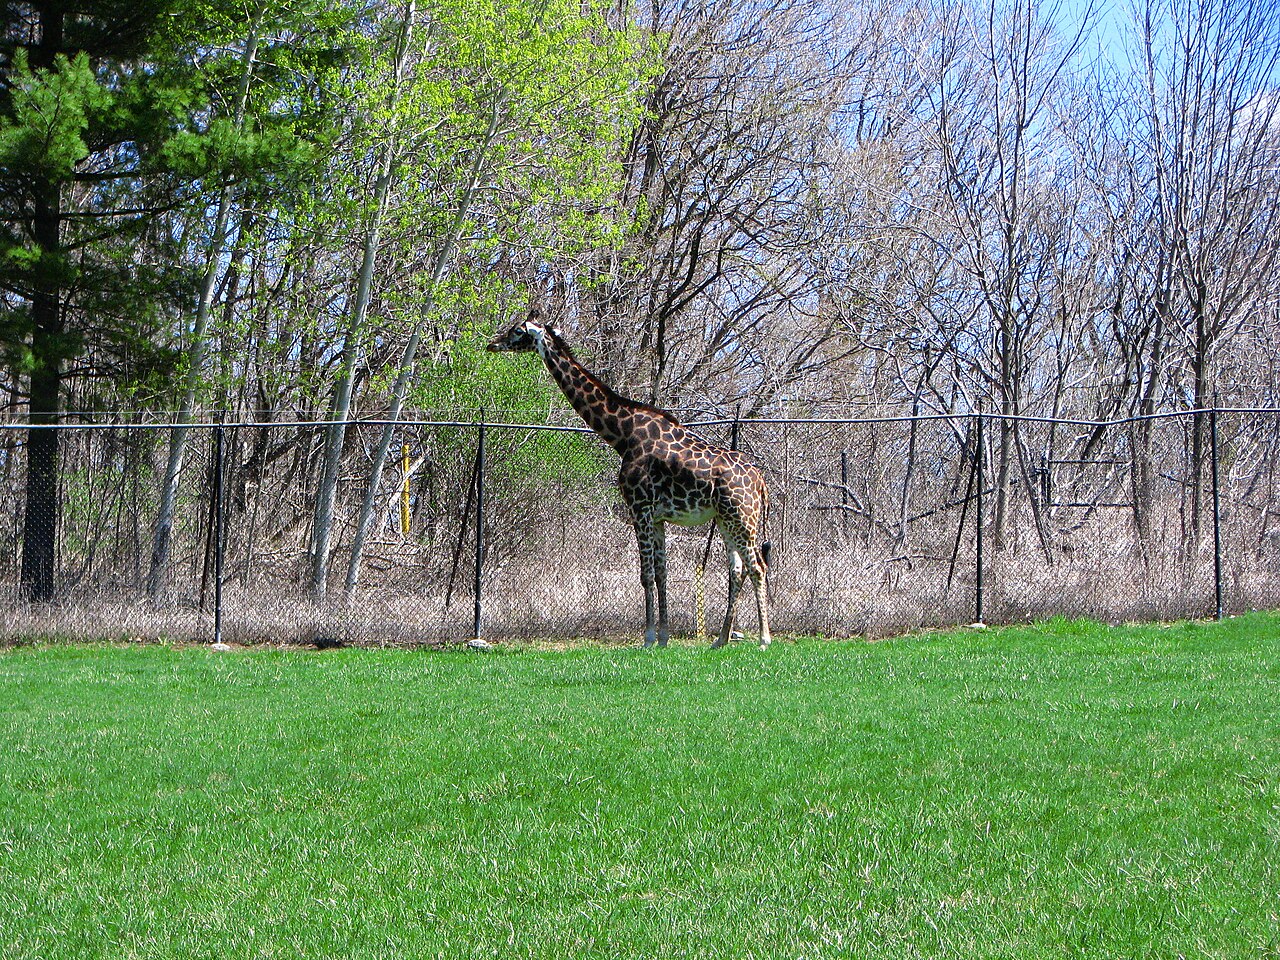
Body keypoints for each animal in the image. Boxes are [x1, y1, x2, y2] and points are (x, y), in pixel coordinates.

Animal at [488, 307, 772, 649]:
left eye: (518, 331)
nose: (492, 343)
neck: (622, 435)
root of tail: (761, 482)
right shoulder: (658, 516)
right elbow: (661, 574)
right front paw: (663, 638)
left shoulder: (639, 507)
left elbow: (645, 574)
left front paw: (648, 638)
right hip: (727, 520)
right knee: (738, 569)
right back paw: (720, 640)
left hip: (742, 518)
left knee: (757, 567)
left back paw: (764, 639)